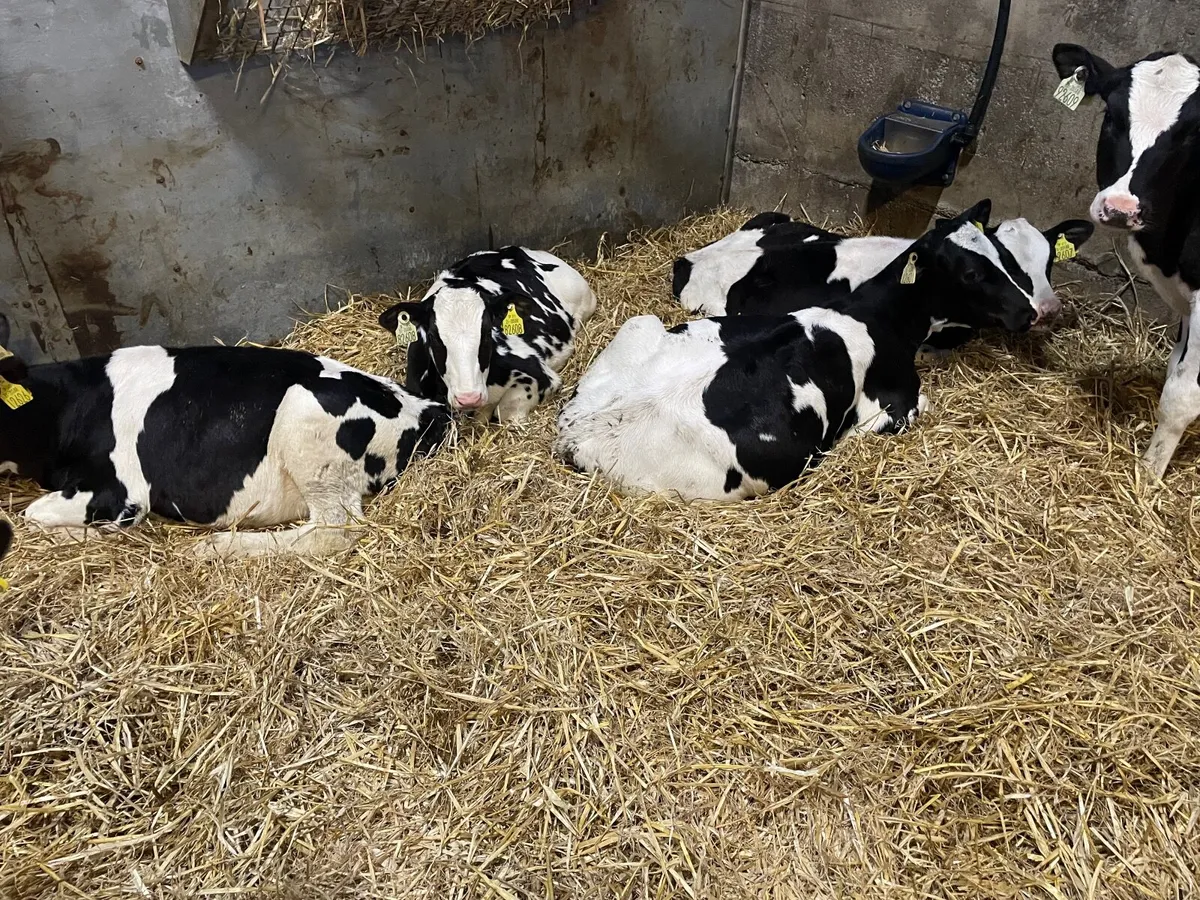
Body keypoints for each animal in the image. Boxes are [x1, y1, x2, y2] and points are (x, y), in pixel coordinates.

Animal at [0, 315, 449, 558]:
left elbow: (32, 515)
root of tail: (426, 406)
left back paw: (217, 547)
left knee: (333, 529)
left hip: (304, 417)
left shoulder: (120, 491)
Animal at [556, 205, 1043, 500]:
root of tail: (578, 431)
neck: (879, 314)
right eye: (971, 273)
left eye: (1003, 254)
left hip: (640, 324)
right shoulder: (891, 409)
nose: (1030, 310)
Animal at [1053, 44, 1200, 478]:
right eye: (1112, 116)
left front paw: (1149, 475)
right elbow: (1174, 369)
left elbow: (1182, 395)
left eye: (1191, 133)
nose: (1120, 208)